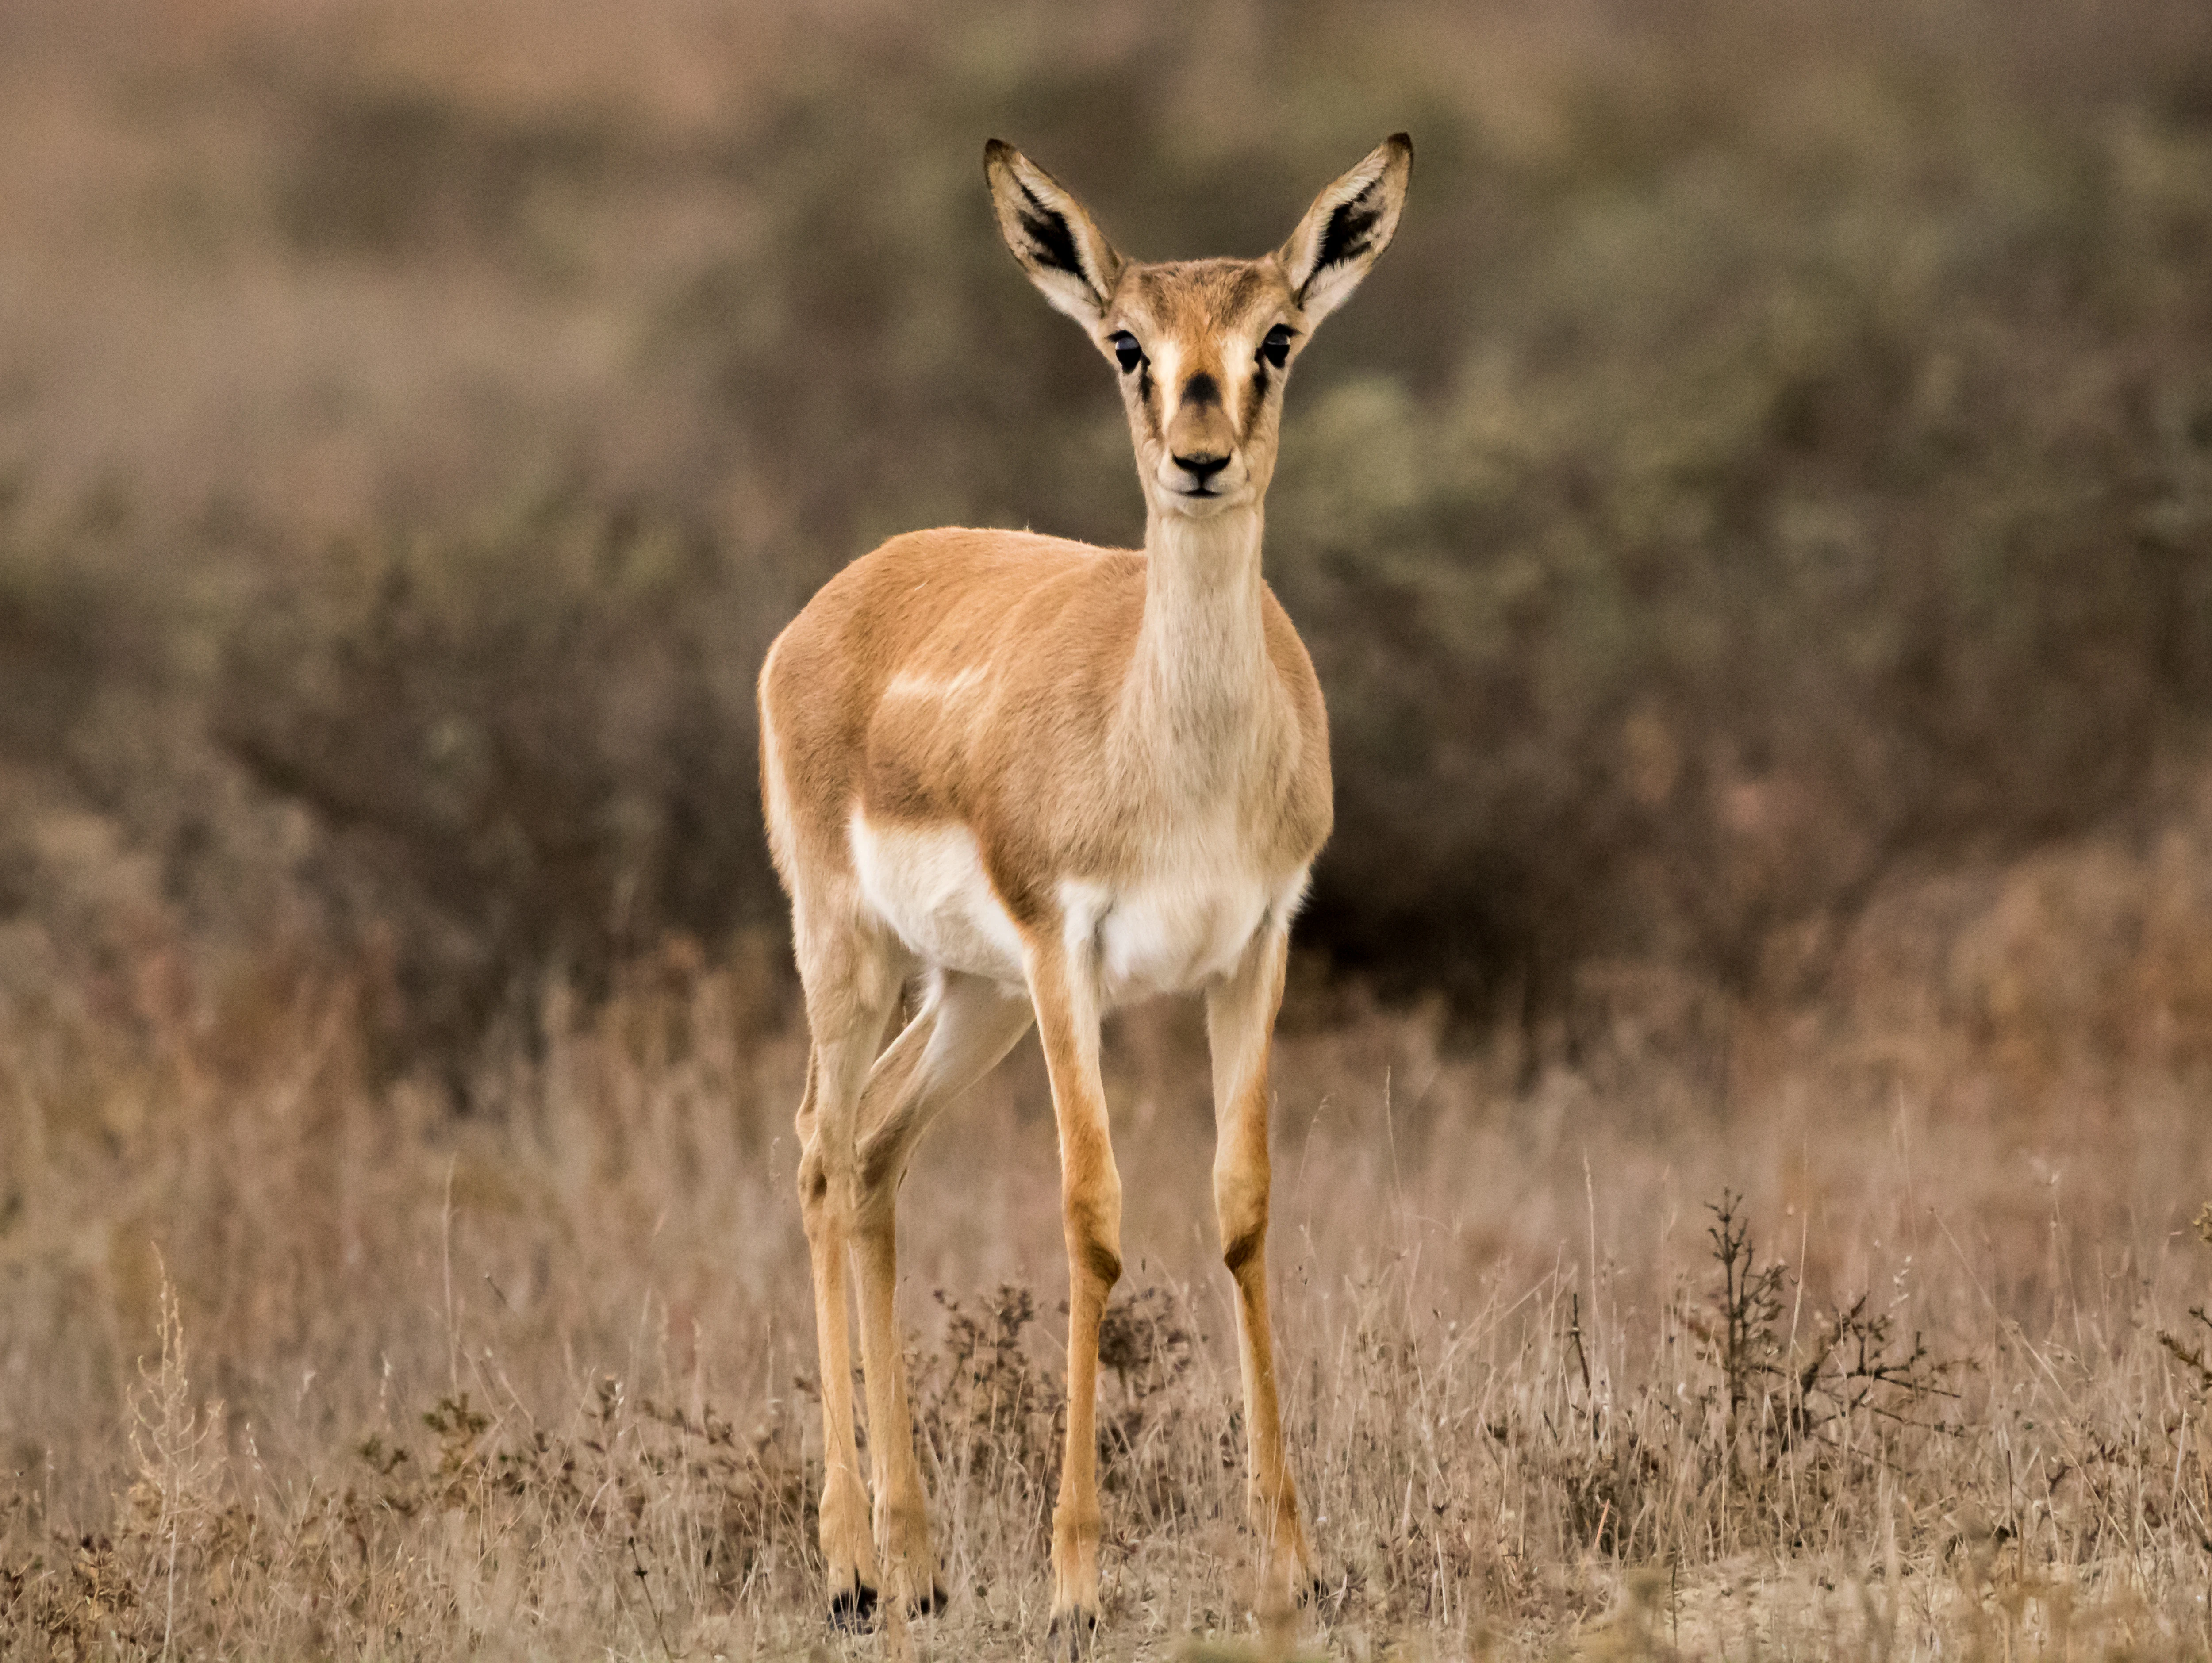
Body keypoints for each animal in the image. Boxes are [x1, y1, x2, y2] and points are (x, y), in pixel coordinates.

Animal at [758, 132, 1412, 1637]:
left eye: (1274, 338)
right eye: (1126, 343)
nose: (1199, 460)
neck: (1171, 752)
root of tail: (836, 599)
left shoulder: (1254, 946)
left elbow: (1241, 1206)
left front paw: (1297, 1563)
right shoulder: (1069, 954)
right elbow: (1092, 1216)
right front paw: (1073, 1583)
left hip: (968, 996)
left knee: (874, 1152)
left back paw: (921, 1563)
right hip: (853, 954)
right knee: (820, 1146)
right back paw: (849, 1568)